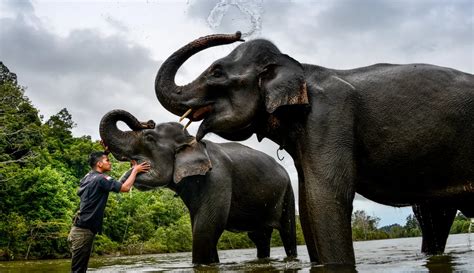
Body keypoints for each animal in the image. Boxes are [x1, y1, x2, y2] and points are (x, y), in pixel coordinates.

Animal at [98, 108, 298, 264]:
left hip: (288, 193)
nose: (149, 122)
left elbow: (206, 228)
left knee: (287, 233)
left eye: (148, 137)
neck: (192, 139)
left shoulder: (218, 178)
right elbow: (200, 227)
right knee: (259, 237)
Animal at [153, 30, 474, 264]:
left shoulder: (330, 116)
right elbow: (308, 202)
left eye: (216, 72)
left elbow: (325, 198)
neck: (299, 68)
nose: (238, 33)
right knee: (435, 217)